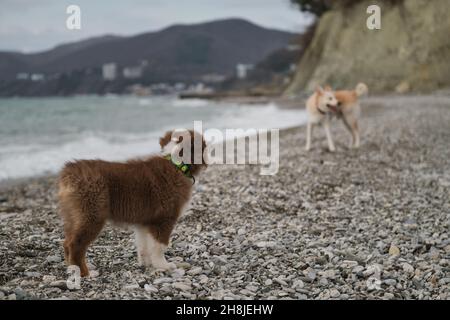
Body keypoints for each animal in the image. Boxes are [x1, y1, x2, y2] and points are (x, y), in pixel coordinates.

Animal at [57, 129, 208, 276]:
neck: (176, 164)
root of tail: (69, 172)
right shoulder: (164, 220)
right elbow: (160, 245)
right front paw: (163, 265)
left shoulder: (144, 222)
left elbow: (144, 245)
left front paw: (147, 264)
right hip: (92, 215)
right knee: (75, 244)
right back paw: (84, 273)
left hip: (73, 216)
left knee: (67, 242)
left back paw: (71, 269)